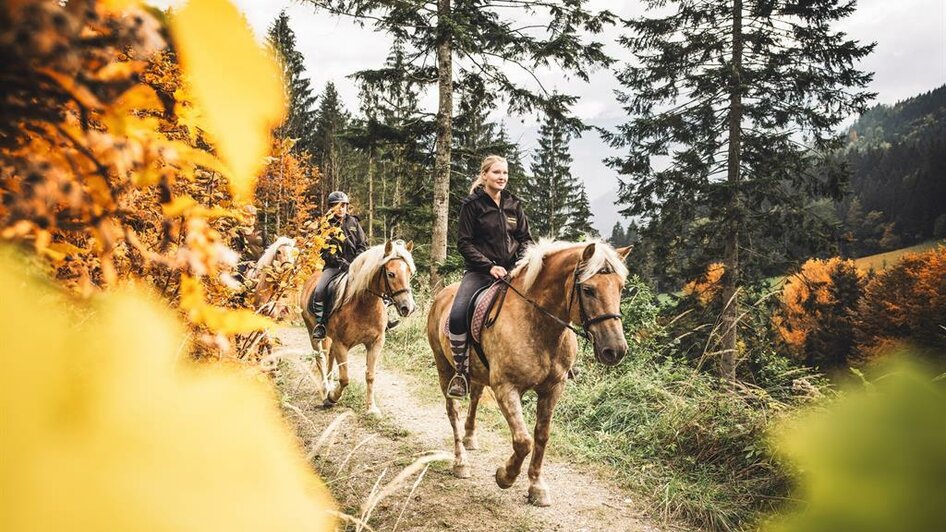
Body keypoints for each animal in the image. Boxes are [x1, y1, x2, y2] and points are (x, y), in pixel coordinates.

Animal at [300, 240, 414, 416]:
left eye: (409, 273)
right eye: (391, 274)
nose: (408, 307)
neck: (363, 305)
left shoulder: (376, 343)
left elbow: (370, 376)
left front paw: (372, 408)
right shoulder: (341, 344)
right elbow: (345, 378)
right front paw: (332, 397)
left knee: (329, 358)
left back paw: (329, 385)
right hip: (315, 333)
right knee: (321, 358)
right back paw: (325, 389)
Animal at [426, 241, 628, 508]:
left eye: (621, 288)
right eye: (588, 290)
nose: (615, 350)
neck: (538, 323)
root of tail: (441, 296)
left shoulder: (553, 389)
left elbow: (541, 436)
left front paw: (537, 486)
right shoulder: (506, 388)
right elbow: (523, 441)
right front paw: (505, 476)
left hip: (478, 374)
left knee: (475, 399)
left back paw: (470, 439)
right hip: (444, 368)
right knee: (453, 411)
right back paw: (461, 462)